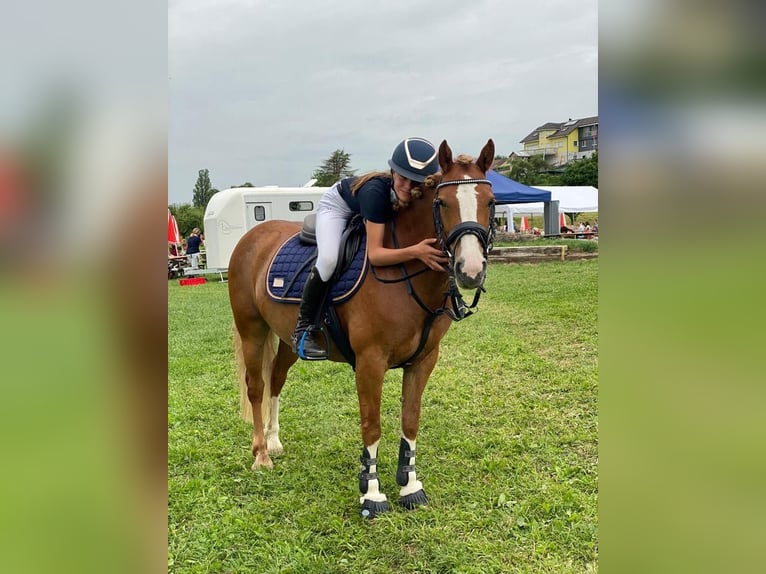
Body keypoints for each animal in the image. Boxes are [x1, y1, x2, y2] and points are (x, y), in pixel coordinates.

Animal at [226, 138, 498, 516]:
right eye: (442, 203)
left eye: (491, 202)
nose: (470, 270)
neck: (405, 272)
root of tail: (253, 235)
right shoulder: (370, 363)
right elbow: (372, 427)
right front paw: (371, 494)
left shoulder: (424, 361)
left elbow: (410, 420)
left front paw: (410, 486)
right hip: (251, 330)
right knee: (256, 387)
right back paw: (261, 455)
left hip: (287, 339)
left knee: (276, 379)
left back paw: (274, 440)